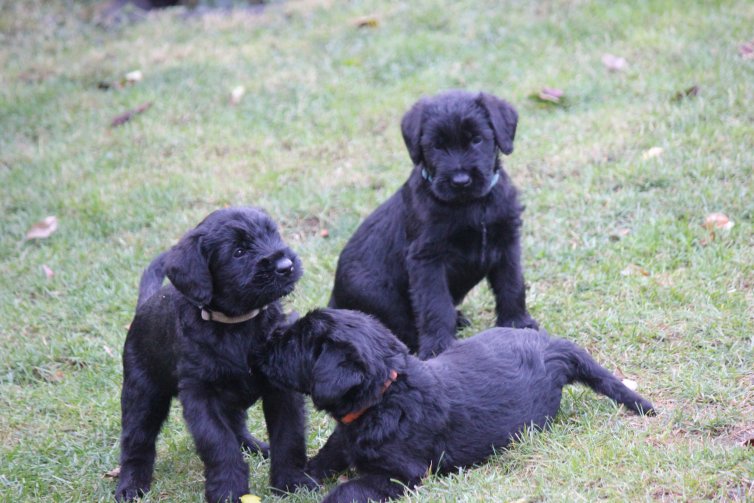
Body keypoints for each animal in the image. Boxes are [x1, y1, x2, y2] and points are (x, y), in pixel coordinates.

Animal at [117, 207, 314, 502]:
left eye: (272, 234)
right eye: (238, 252)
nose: (285, 265)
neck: (238, 326)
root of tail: (145, 304)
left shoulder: (281, 389)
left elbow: (289, 436)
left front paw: (292, 482)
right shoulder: (201, 396)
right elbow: (219, 443)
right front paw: (228, 490)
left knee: (238, 427)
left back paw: (257, 447)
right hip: (142, 394)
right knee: (136, 440)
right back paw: (131, 484)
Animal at [262, 308, 648, 503]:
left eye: (297, 340)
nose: (267, 340)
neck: (385, 396)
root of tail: (551, 348)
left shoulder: (403, 474)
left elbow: (350, 488)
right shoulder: (344, 441)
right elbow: (324, 458)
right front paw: (297, 480)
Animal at [328, 89, 536, 358]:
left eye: (477, 139)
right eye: (437, 145)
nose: (460, 181)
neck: (472, 205)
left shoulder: (507, 242)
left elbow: (512, 285)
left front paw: (517, 324)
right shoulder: (427, 260)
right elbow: (436, 305)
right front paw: (438, 348)